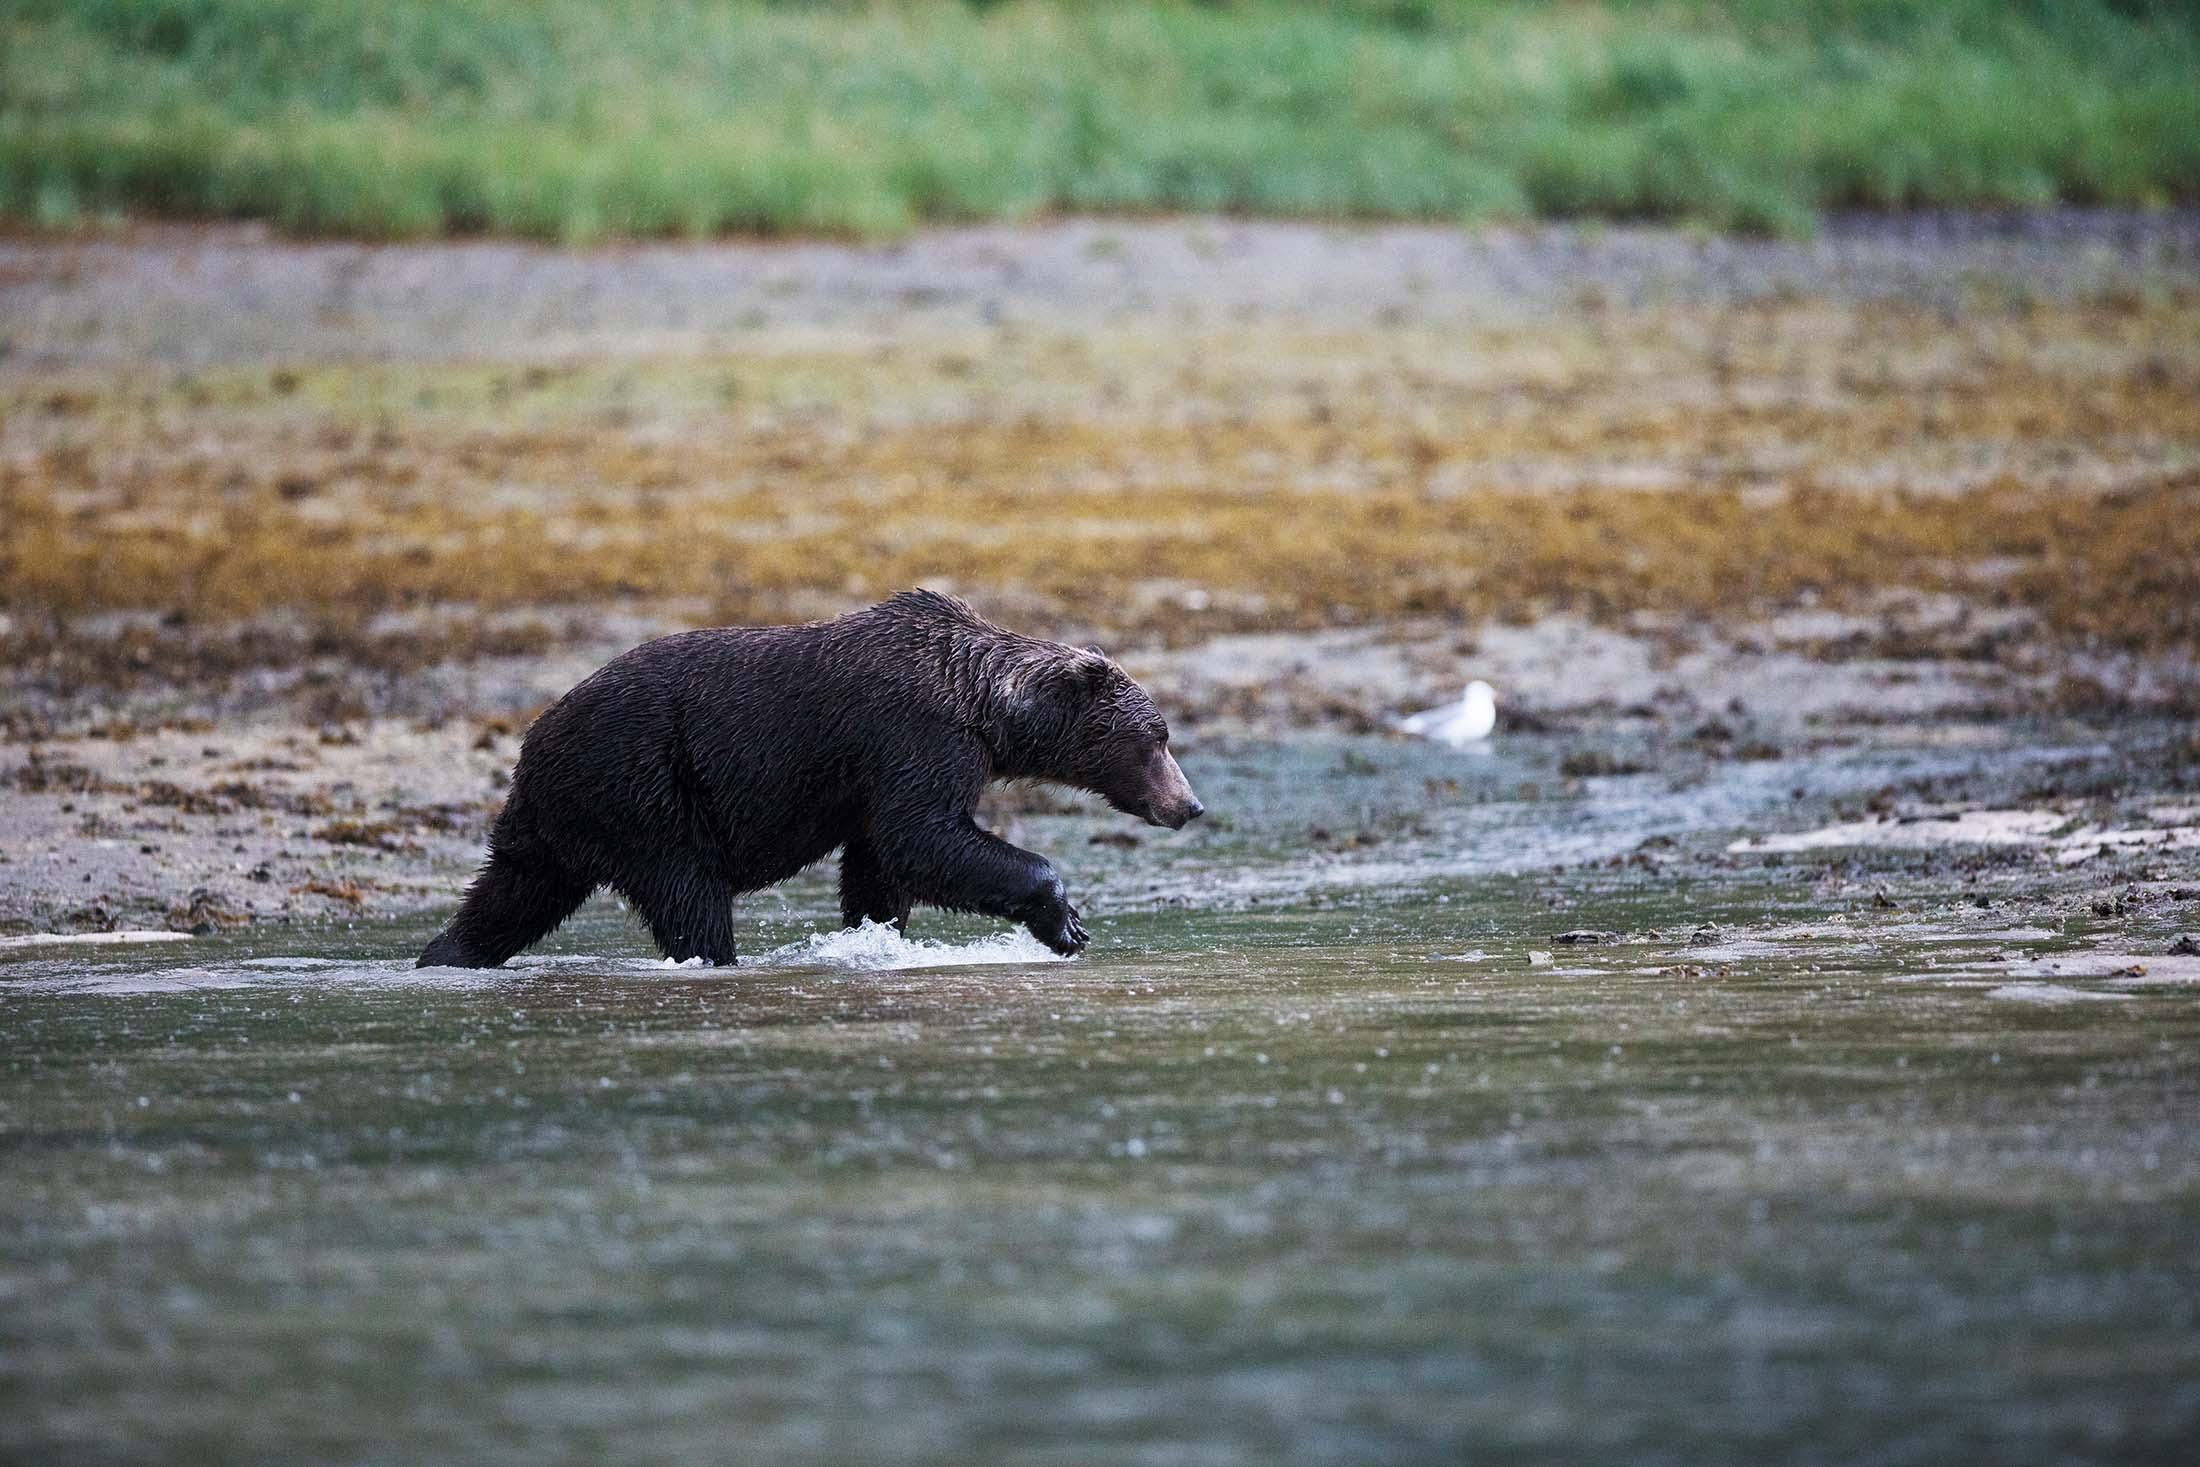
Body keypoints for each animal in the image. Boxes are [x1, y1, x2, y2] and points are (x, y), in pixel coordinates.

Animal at [417, 590, 1203, 968]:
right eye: (1156, 737)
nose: (1189, 804)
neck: (985, 706)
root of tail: (531, 743)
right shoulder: (913, 737)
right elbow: (926, 837)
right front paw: (1065, 919)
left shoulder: (877, 776)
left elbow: (882, 865)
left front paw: (875, 936)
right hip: (645, 787)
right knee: (689, 894)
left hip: (560, 817)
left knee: (511, 893)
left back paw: (445, 955)